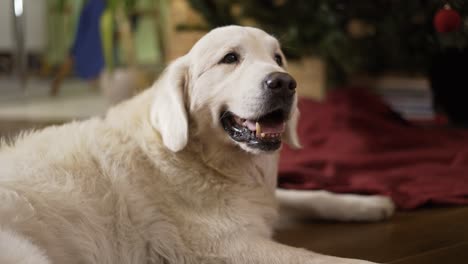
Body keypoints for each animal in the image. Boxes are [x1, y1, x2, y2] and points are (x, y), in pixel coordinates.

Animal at [0, 25, 394, 264]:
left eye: (278, 58)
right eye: (230, 58)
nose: (284, 82)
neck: (201, 159)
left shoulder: (258, 203)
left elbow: (309, 196)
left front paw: (369, 204)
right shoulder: (230, 246)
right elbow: (335, 260)